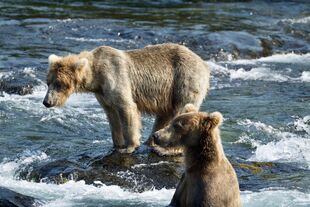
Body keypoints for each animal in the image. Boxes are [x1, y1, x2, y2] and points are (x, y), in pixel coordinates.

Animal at [42, 43, 209, 153]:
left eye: (59, 84)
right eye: (48, 82)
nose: (46, 102)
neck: (96, 76)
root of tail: (203, 63)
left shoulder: (116, 77)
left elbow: (127, 108)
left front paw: (129, 146)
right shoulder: (103, 94)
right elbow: (112, 116)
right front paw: (117, 144)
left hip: (185, 78)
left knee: (182, 109)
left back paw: (166, 149)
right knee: (165, 114)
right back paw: (151, 141)